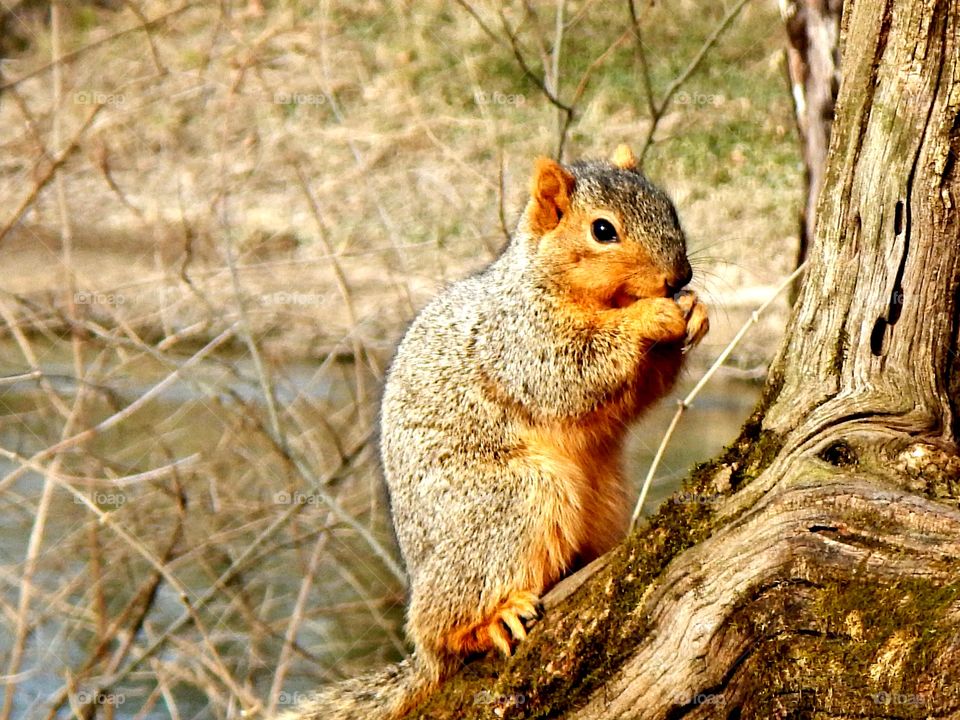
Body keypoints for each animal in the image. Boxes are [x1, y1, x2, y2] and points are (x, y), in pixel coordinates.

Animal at [282, 144, 709, 720]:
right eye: (602, 230)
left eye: (671, 208)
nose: (678, 276)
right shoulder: (519, 339)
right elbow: (571, 369)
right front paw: (655, 316)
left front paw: (697, 312)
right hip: (511, 500)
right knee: (442, 624)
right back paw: (487, 621)